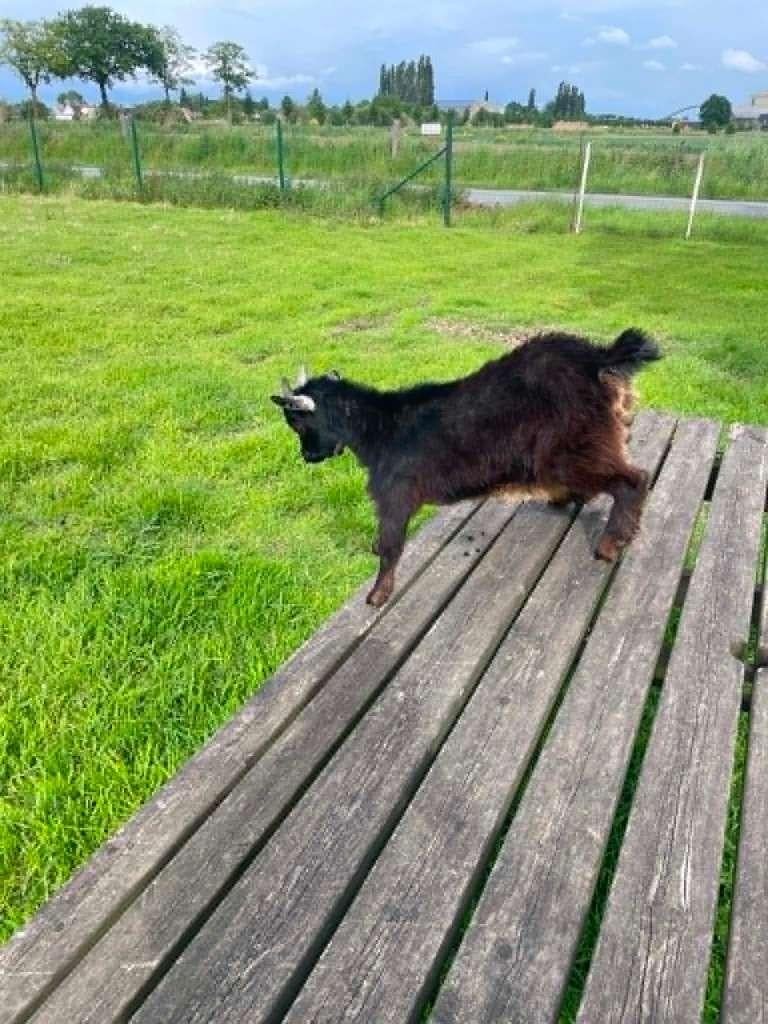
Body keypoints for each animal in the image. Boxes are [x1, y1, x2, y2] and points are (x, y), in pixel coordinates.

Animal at [272, 328, 661, 607]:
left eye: (297, 424)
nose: (307, 457)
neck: (380, 427)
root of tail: (598, 357)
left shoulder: (394, 495)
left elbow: (390, 545)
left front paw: (378, 595)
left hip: (572, 450)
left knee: (633, 480)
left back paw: (610, 543)